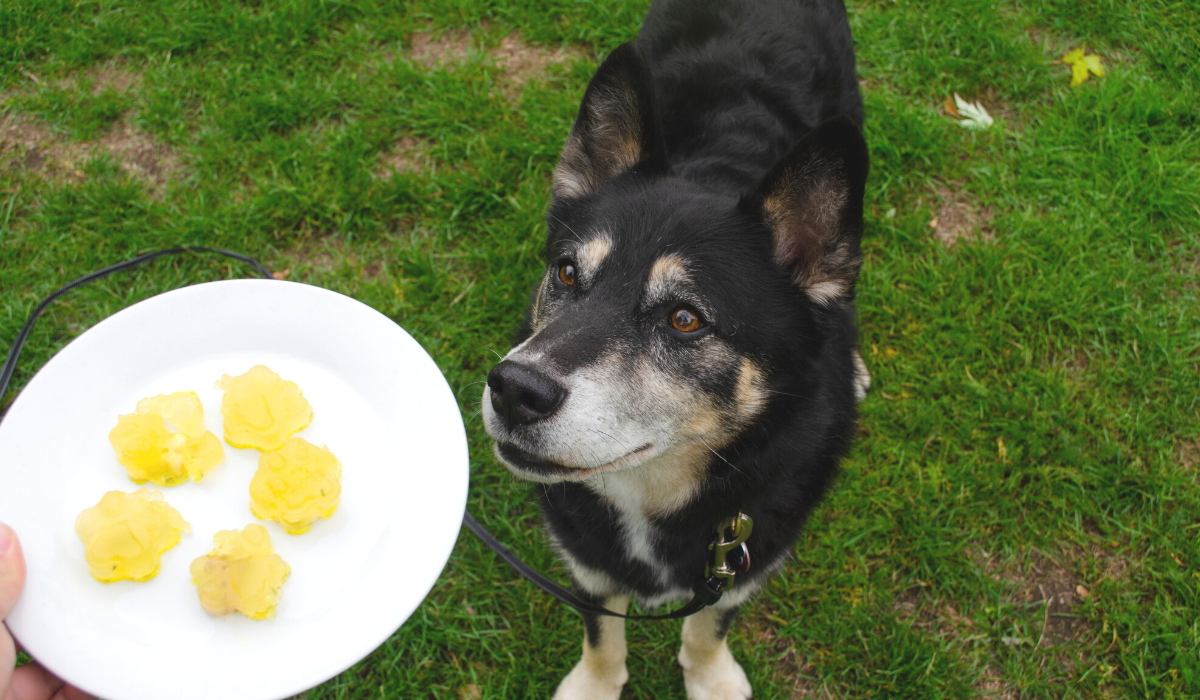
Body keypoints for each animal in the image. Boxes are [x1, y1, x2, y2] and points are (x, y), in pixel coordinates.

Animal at [482, 2, 868, 696]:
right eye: (568, 274)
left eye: (685, 319)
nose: (514, 390)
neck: (651, 491)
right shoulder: (587, 560)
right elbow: (601, 630)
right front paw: (596, 683)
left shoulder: (743, 553)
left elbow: (707, 626)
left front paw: (711, 679)